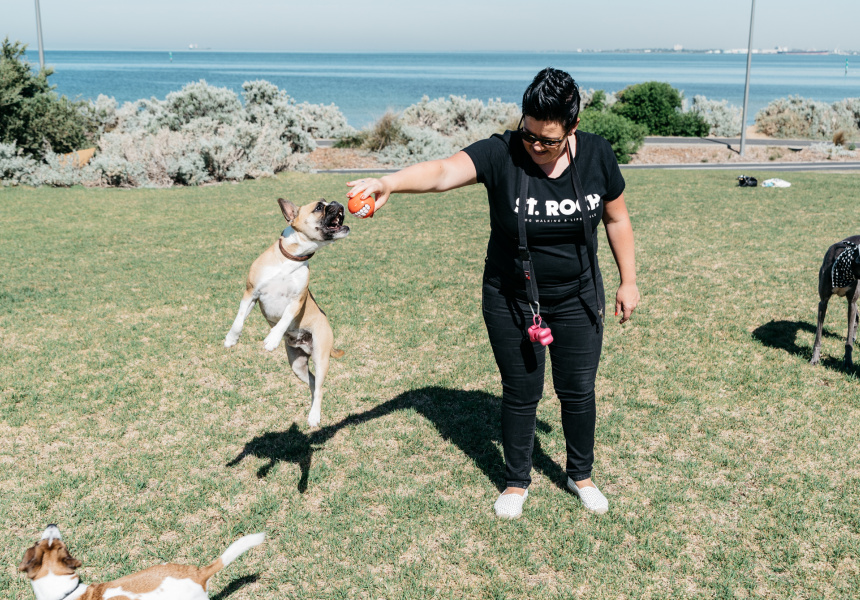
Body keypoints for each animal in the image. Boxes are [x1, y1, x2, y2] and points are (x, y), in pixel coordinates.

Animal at [224, 198, 349, 427]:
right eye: (320, 206)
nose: (337, 202)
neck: (291, 259)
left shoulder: (296, 301)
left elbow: (284, 320)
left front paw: (273, 339)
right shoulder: (250, 293)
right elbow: (239, 319)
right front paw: (231, 338)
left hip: (321, 357)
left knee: (320, 387)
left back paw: (314, 416)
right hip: (297, 365)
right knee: (312, 382)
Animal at [811, 235, 860, 369]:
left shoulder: (851, 303)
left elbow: (848, 339)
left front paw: (848, 361)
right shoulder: (823, 302)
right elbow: (818, 336)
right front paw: (815, 358)